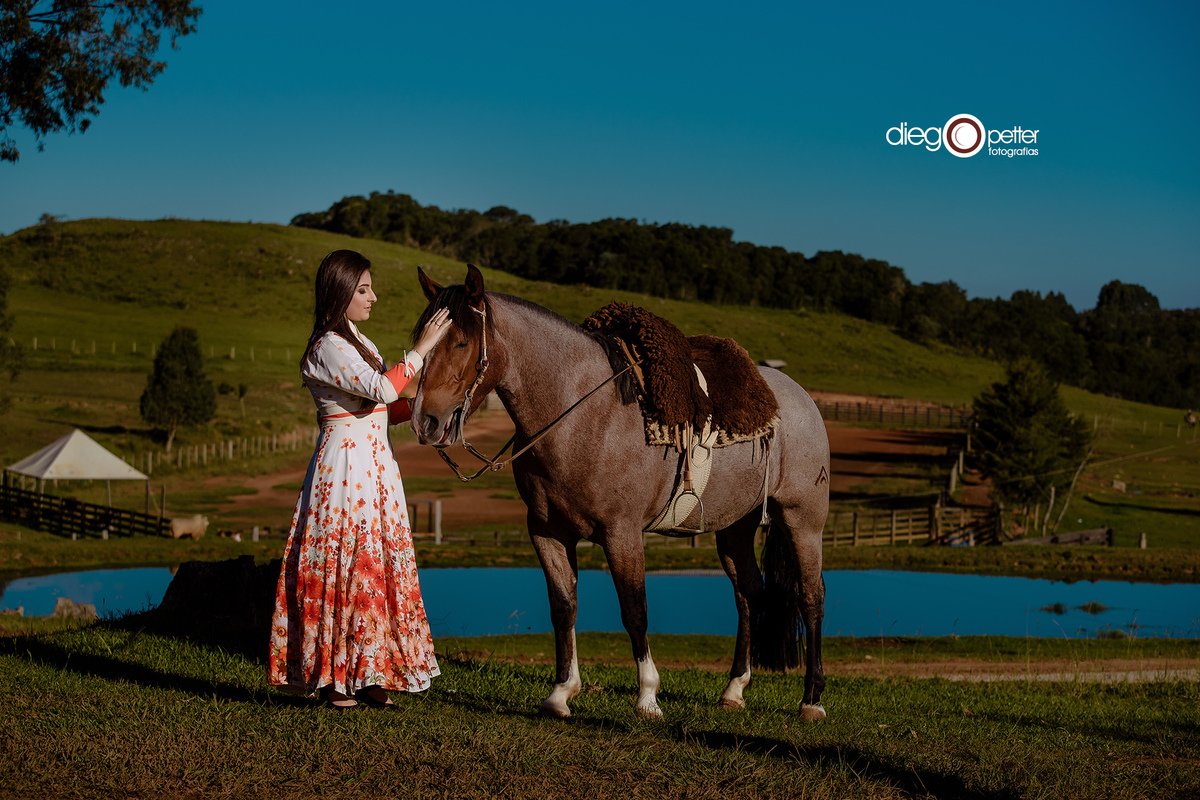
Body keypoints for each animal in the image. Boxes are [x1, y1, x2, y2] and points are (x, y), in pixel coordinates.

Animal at [410, 266, 830, 721]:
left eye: (461, 342)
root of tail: (800, 400)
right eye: (423, 337)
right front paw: (561, 692)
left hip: (802, 520)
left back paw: (811, 699)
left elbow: (634, 611)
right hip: (736, 526)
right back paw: (734, 689)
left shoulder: (622, 533)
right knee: (749, 593)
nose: (425, 421)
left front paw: (648, 696)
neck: (582, 415)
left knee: (811, 597)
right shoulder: (547, 532)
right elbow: (564, 608)